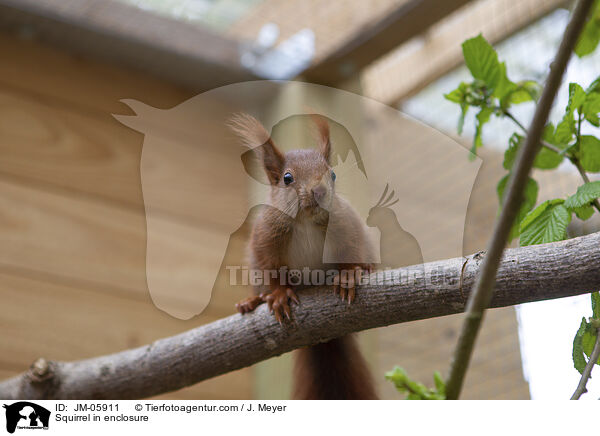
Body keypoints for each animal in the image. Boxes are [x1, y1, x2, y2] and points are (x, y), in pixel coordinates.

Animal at [231, 112, 378, 398]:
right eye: (287, 178)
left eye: (332, 174)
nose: (319, 192)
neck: (305, 221)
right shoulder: (265, 239)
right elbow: (271, 269)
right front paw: (278, 295)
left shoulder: (346, 227)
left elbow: (350, 251)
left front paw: (349, 275)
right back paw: (251, 301)